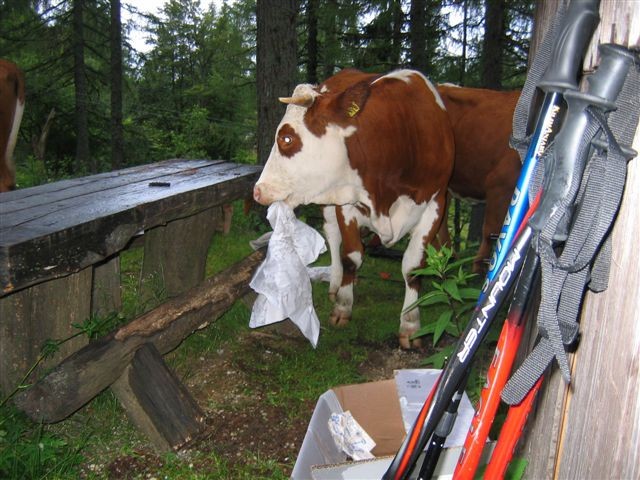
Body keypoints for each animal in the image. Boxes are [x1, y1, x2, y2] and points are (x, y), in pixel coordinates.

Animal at [252, 67, 452, 346]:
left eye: (287, 138)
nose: (258, 190)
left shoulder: (435, 203)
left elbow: (413, 267)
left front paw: (411, 325)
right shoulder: (347, 202)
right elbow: (351, 255)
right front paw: (343, 306)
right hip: (329, 204)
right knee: (333, 237)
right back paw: (338, 282)